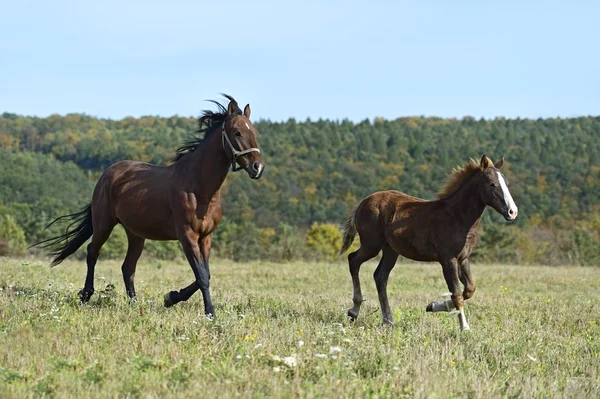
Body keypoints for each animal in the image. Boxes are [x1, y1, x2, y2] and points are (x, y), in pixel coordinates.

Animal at [34, 95, 264, 318]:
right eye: (237, 132)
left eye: (255, 132)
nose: (258, 167)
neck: (199, 189)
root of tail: (107, 174)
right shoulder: (187, 236)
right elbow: (201, 275)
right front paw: (209, 313)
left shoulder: (205, 237)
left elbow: (205, 274)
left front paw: (171, 297)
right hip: (104, 224)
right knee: (93, 252)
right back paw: (86, 294)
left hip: (136, 234)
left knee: (127, 267)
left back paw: (134, 305)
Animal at [340, 155, 516, 332]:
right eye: (492, 183)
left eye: (507, 183)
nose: (512, 212)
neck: (457, 217)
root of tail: (363, 203)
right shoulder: (448, 260)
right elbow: (457, 293)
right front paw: (464, 327)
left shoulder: (463, 258)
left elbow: (469, 289)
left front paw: (433, 306)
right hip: (372, 245)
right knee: (353, 260)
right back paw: (354, 310)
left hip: (390, 250)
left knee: (380, 276)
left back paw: (388, 320)